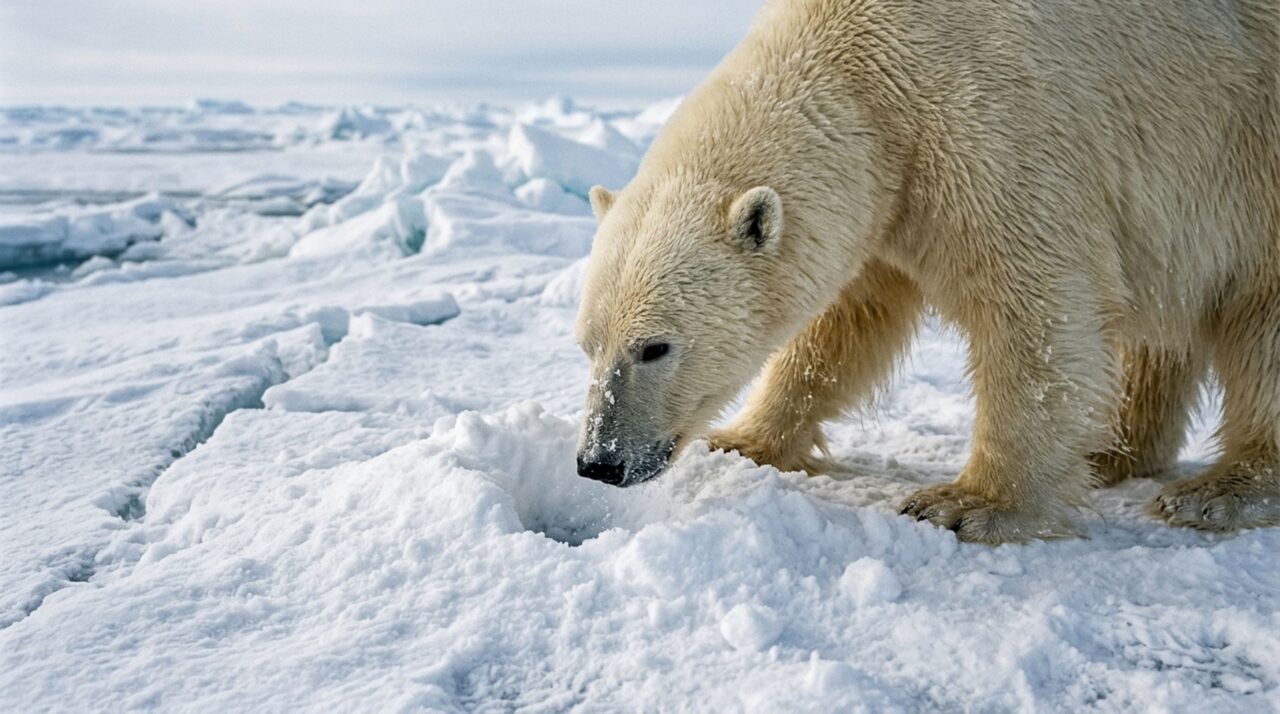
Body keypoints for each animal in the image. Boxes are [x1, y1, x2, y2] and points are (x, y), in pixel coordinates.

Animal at [573, 0, 1279, 543]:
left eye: (655, 347)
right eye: (587, 345)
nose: (598, 462)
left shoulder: (994, 126)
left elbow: (1036, 309)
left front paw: (969, 504)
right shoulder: (892, 194)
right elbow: (847, 324)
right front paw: (743, 440)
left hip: (1253, 162)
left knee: (1260, 327)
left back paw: (1219, 490)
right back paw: (1112, 450)